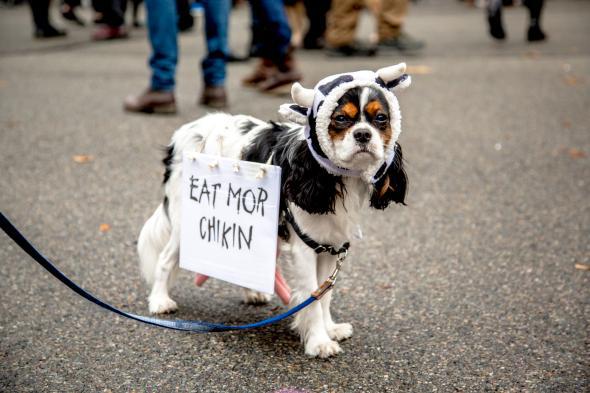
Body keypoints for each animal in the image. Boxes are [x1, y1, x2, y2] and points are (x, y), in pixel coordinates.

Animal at [138, 62, 412, 356]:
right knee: (165, 259)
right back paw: (159, 301)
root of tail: (185, 132)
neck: (334, 176)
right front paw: (319, 341)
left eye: (381, 118)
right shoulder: (305, 246)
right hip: (185, 217)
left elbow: (324, 293)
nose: (363, 134)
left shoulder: (329, 244)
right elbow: (312, 296)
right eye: (340, 119)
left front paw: (331, 329)